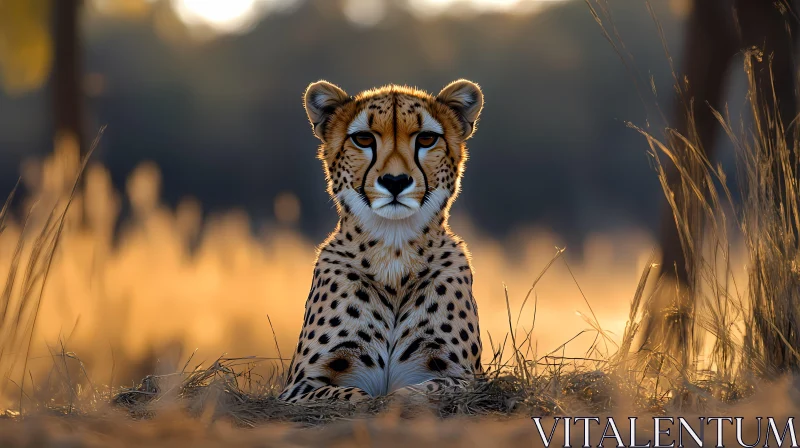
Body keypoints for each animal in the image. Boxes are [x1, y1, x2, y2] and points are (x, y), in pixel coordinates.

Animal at [278, 79, 484, 402]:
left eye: (426, 139)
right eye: (363, 139)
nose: (395, 181)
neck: (394, 251)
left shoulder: (467, 377)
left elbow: (426, 388)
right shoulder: (300, 386)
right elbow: (350, 396)